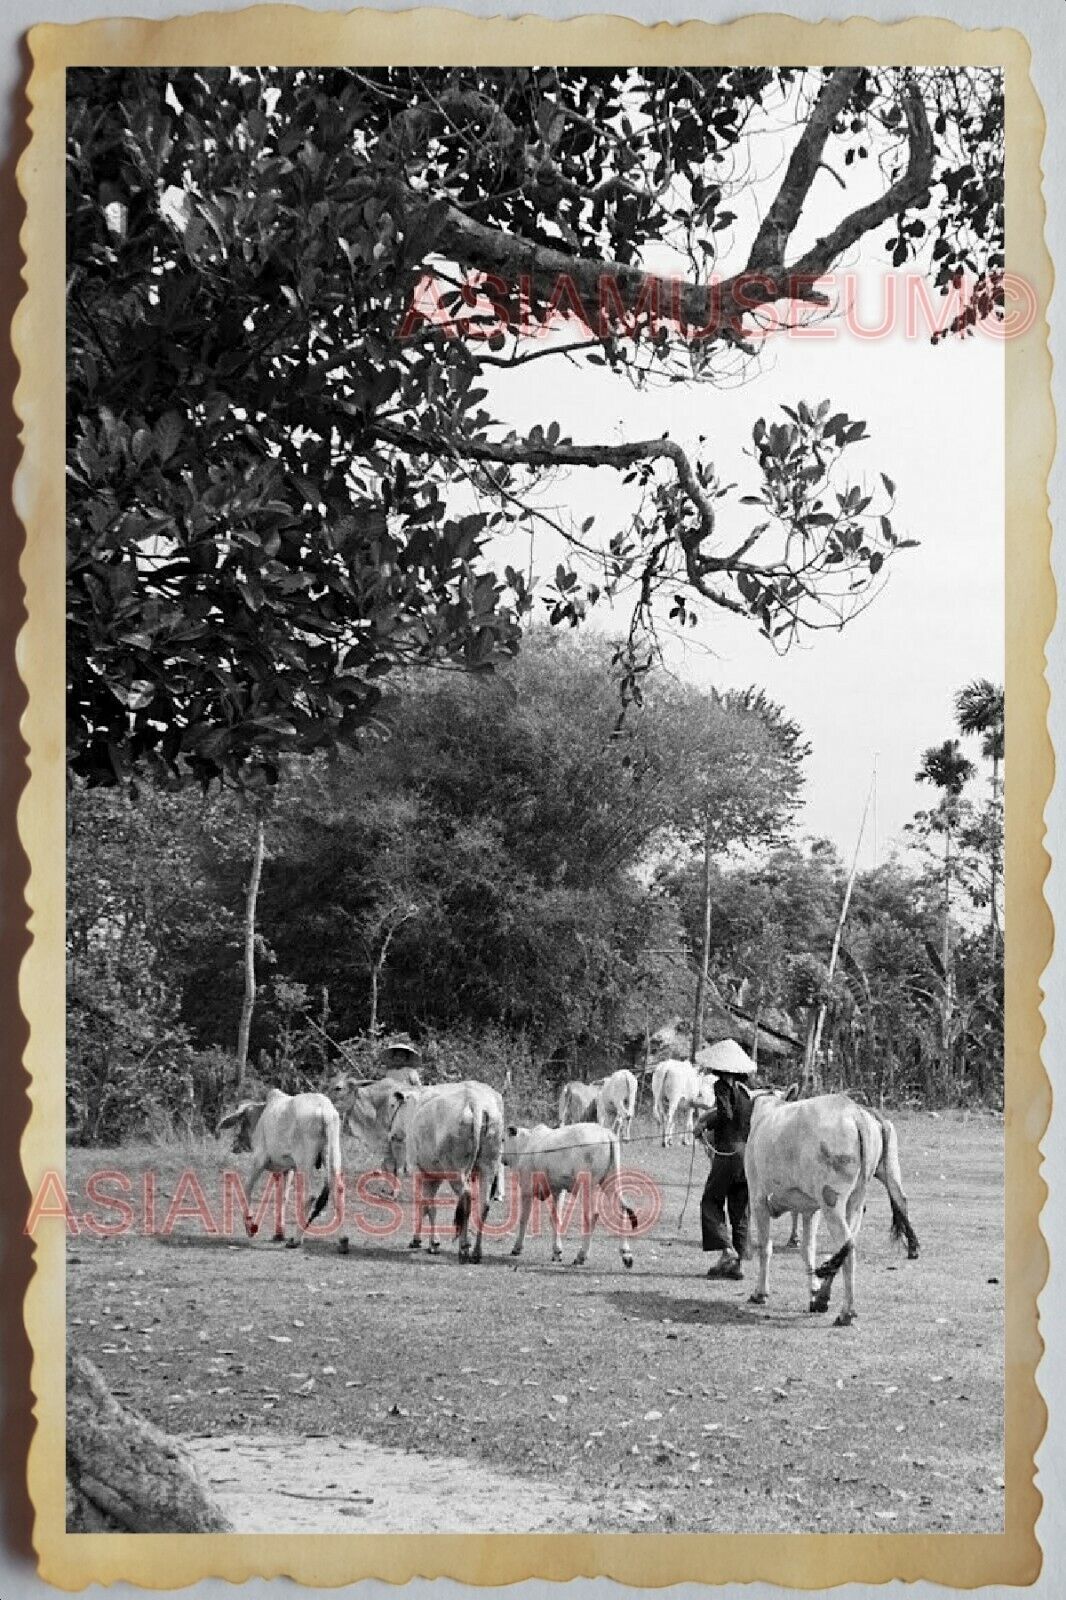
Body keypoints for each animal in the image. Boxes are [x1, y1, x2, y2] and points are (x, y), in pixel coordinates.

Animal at [217, 1088, 344, 1248]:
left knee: (309, 1195)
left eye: (243, 1121)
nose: (235, 1145)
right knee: (338, 1189)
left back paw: (296, 1240)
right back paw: (343, 1241)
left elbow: (246, 1188)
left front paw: (250, 1226)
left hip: (304, 1162)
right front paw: (279, 1233)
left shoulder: (259, 1160)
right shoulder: (287, 1169)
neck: (261, 1114)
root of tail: (325, 1112)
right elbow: (282, 1196)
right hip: (333, 1154)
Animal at [710, 1081, 915, 1331]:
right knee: (848, 1244)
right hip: (854, 1202)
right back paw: (823, 1299)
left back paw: (846, 1312)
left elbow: (765, 1248)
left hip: (831, 1202)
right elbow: (808, 1250)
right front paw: (813, 1291)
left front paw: (760, 1293)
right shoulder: (810, 1210)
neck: (767, 1112)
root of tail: (854, 1112)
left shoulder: (758, 1200)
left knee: (848, 1246)